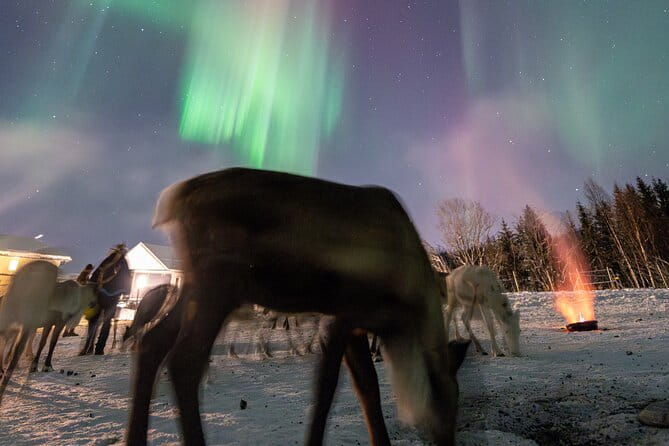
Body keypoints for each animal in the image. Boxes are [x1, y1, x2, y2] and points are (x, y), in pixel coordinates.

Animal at [126, 167, 470, 446]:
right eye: (447, 398)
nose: (447, 441)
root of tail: (174, 200)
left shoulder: (360, 324)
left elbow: (368, 388)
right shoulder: (343, 315)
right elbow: (327, 390)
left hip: (194, 287)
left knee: (153, 342)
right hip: (219, 284)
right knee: (184, 360)